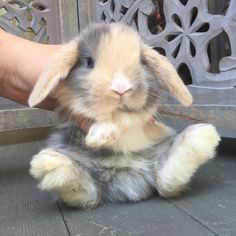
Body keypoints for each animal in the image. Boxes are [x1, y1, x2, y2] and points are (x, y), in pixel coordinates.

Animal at [28, 23, 220, 207]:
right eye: (89, 62)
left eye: (141, 61)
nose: (121, 88)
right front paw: (101, 136)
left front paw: (103, 134)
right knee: (87, 193)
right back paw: (52, 166)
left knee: (166, 182)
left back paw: (200, 136)